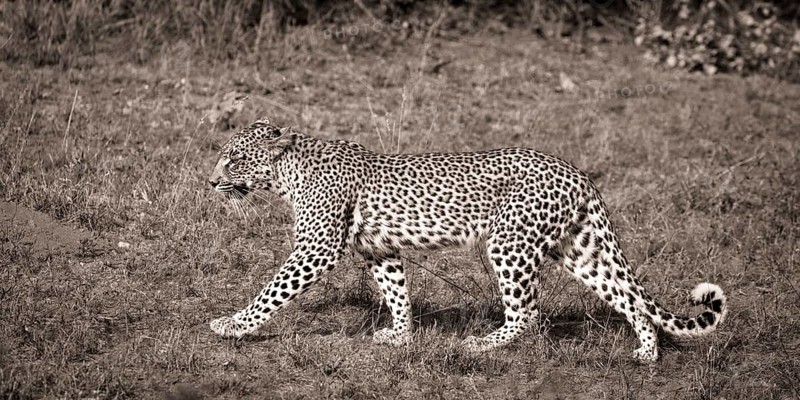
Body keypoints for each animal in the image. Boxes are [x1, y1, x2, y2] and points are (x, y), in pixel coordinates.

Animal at [207, 118, 728, 362]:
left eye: (234, 159)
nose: (210, 182)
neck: (288, 174)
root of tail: (577, 172)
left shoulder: (317, 248)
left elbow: (272, 291)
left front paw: (232, 325)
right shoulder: (379, 248)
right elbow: (397, 292)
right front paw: (400, 335)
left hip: (509, 243)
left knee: (527, 311)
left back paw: (480, 345)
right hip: (579, 248)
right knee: (629, 298)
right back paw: (647, 354)